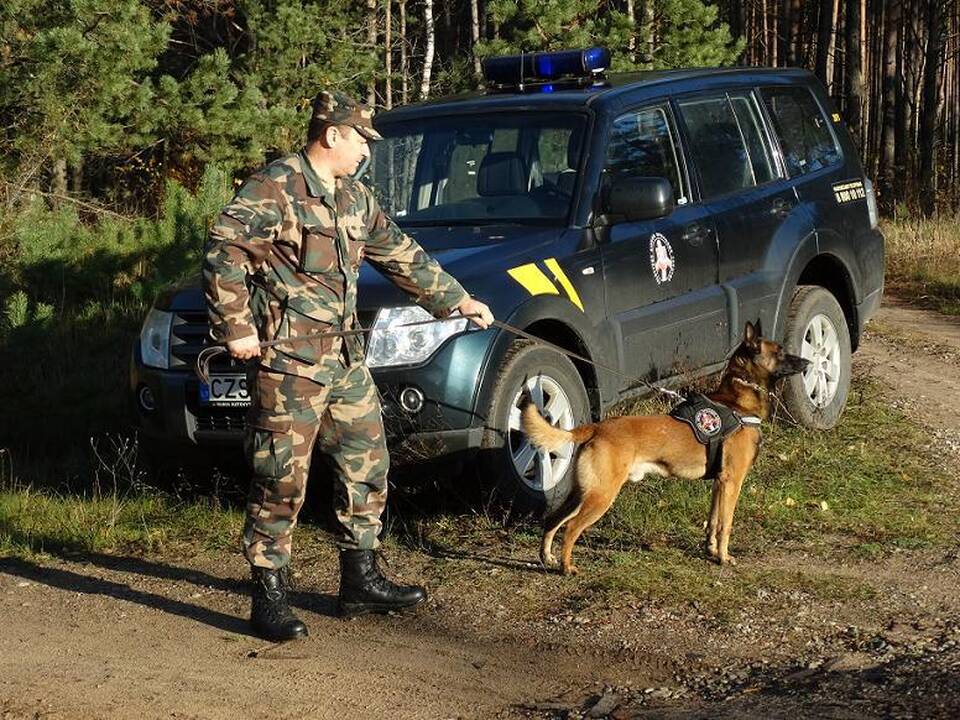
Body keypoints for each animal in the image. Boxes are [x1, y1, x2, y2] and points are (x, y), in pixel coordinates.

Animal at [524, 320, 808, 572]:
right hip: (601, 495)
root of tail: (597, 427)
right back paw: (567, 566)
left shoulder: (719, 483)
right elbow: (725, 524)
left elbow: (712, 521)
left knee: (553, 520)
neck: (737, 404)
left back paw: (547, 557)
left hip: (582, 492)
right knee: (571, 528)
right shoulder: (732, 480)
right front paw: (724, 558)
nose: (808, 363)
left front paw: (711, 551)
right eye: (779, 351)